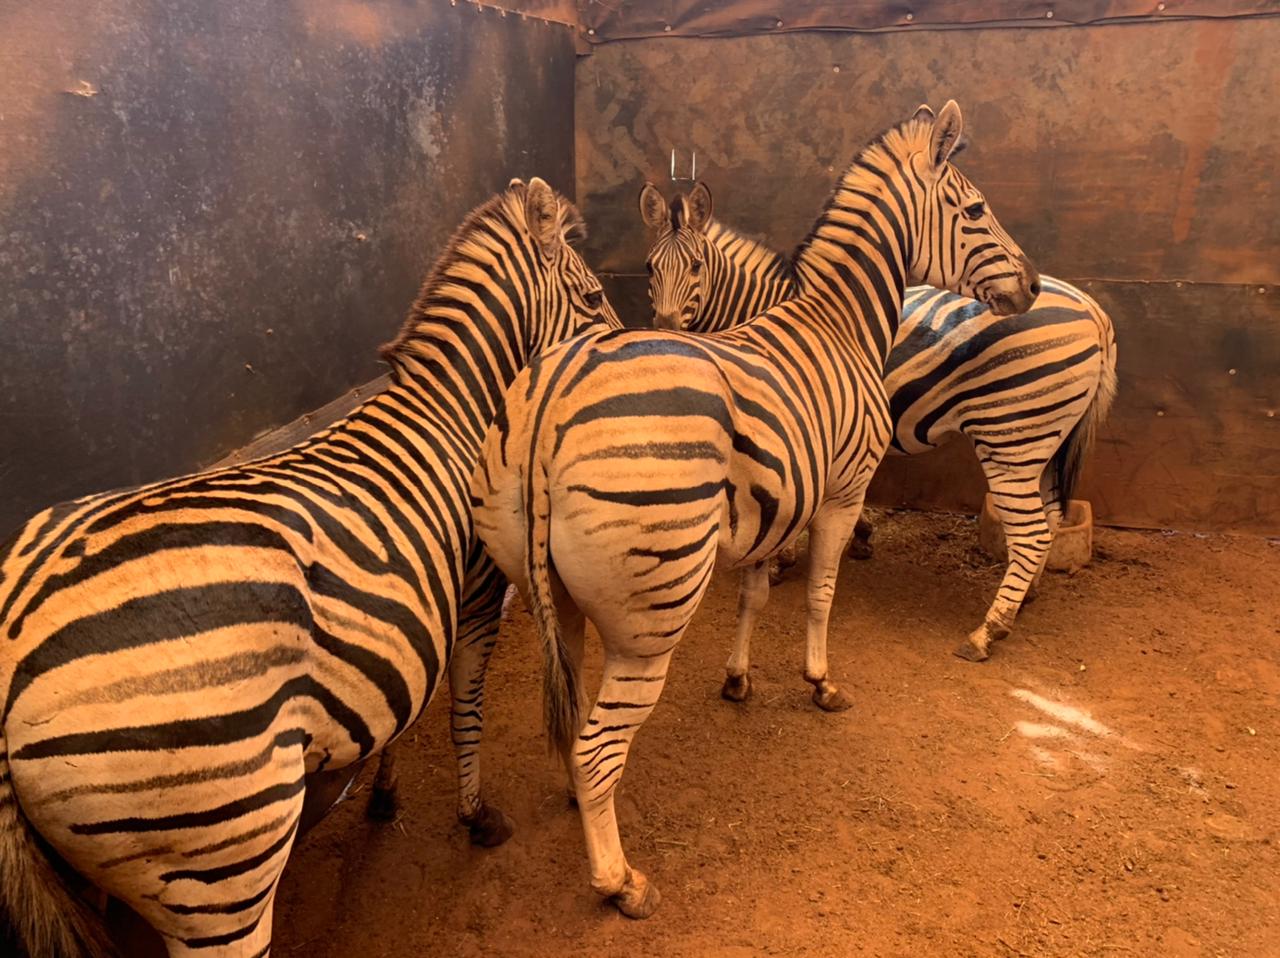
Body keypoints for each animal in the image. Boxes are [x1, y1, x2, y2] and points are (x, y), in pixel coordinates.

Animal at [0, 177, 619, 957]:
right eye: (594, 298)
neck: (456, 410)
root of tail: (13, 645)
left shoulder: (418, 608)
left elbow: (406, 712)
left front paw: (384, 795)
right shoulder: (477, 592)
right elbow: (464, 708)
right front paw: (475, 817)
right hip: (225, 857)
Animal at [470, 102, 1039, 918]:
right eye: (974, 210)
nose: (1031, 287)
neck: (841, 324)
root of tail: (551, 400)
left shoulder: (775, 501)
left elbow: (755, 594)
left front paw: (739, 679)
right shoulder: (842, 489)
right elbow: (821, 594)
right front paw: (820, 682)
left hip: (557, 597)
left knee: (576, 731)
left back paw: (584, 812)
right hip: (651, 619)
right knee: (597, 746)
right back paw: (620, 881)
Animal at [639, 182, 1118, 665]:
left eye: (696, 266)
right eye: (648, 267)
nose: (666, 330)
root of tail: (1093, 312)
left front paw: (783, 558)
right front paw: (858, 536)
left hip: (1010, 434)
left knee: (1032, 531)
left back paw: (988, 630)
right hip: (1045, 437)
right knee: (1050, 519)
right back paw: (1025, 596)